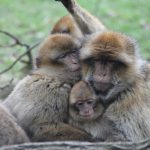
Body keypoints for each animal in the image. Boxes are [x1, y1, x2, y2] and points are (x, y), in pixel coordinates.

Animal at [56, 0, 150, 142]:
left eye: (111, 62)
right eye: (97, 60)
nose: (102, 73)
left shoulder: (129, 103)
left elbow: (126, 139)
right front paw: (72, 6)